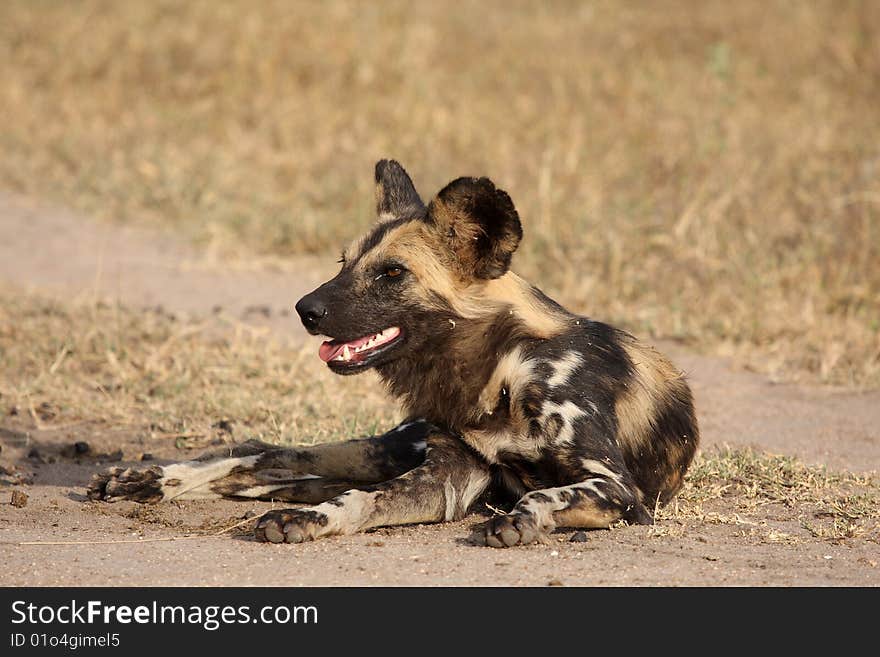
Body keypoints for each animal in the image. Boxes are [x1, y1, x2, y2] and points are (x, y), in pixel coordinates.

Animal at [87, 160, 696, 548]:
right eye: (344, 262)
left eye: (392, 274)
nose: (304, 309)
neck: (497, 370)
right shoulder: (446, 471)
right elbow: (363, 501)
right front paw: (312, 521)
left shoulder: (617, 489)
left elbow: (539, 497)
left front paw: (518, 523)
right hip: (390, 447)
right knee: (266, 455)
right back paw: (147, 481)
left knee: (281, 473)